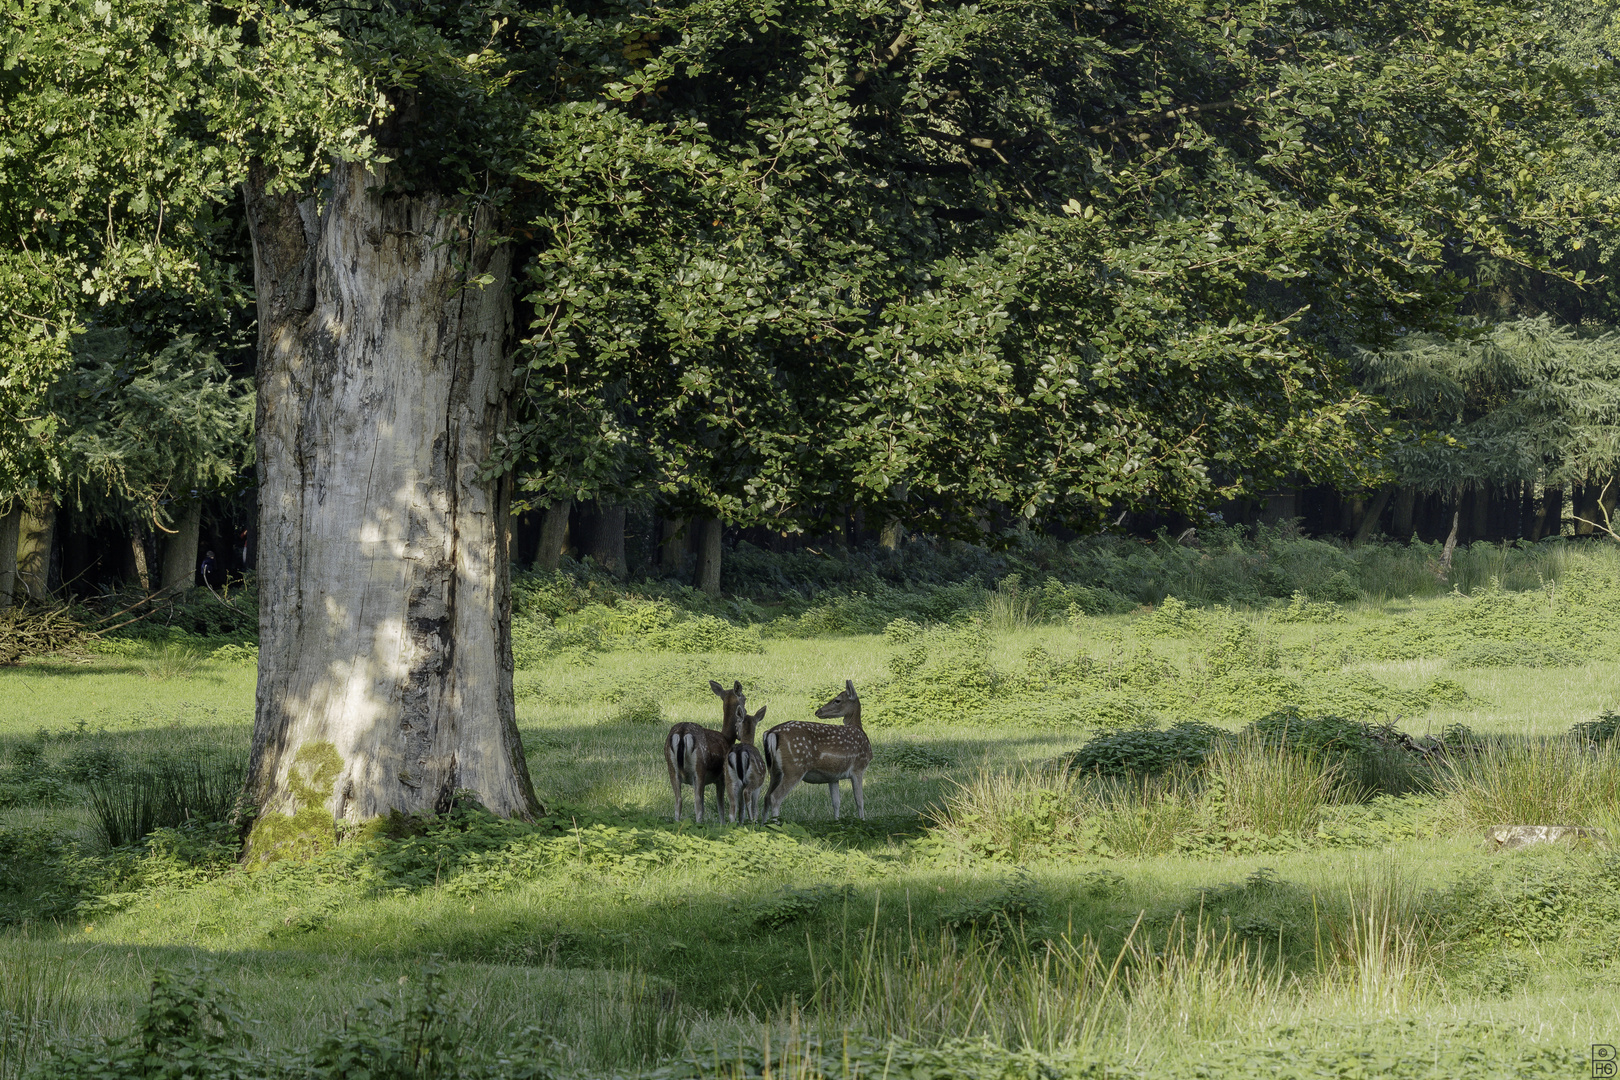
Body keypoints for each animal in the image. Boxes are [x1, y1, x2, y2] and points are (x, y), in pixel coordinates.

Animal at [664, 680, 745, 822]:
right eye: (745, 699)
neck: (727, 739)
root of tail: (682, 733)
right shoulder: (721, 777)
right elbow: (720, 806)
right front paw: (723, 824)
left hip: (671, 768)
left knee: (678, 800)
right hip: (699, 767)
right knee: (696, 803)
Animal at [761, 680, 874, 822]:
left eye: (837, 700)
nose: (818, 711)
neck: (859, 729)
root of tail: (771, 732)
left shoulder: (833, 776)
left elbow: (836, 802)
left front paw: (836, 822)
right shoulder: (858, 767)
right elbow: (859, 800)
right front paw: (862, 821)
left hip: (774, 770)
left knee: (766, 796)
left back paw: (763, 824)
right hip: (794, 767)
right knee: (775, 797)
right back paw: (776, 823)